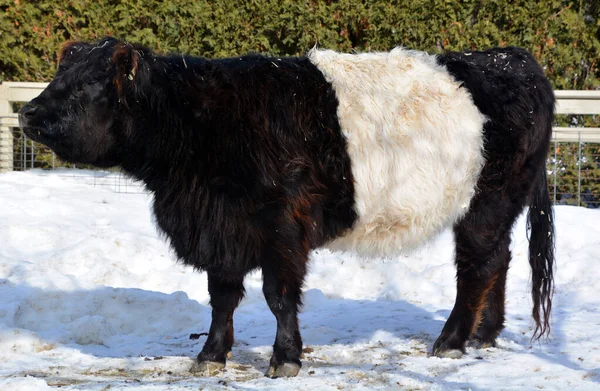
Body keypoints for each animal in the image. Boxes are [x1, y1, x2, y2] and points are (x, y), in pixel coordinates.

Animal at [18, 38, 556, 378]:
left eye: (91, 84)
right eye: (60, 74)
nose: (27, 112)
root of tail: (512, 58)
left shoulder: (282, 227)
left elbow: (278, 296)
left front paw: (286, 358)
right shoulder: (223, 230)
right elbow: (222, 297)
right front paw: (211, 355)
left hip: (488, 200)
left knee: (477, 266)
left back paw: (451, 341)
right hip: (496, 205)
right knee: (499, 260)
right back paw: (485, 334)